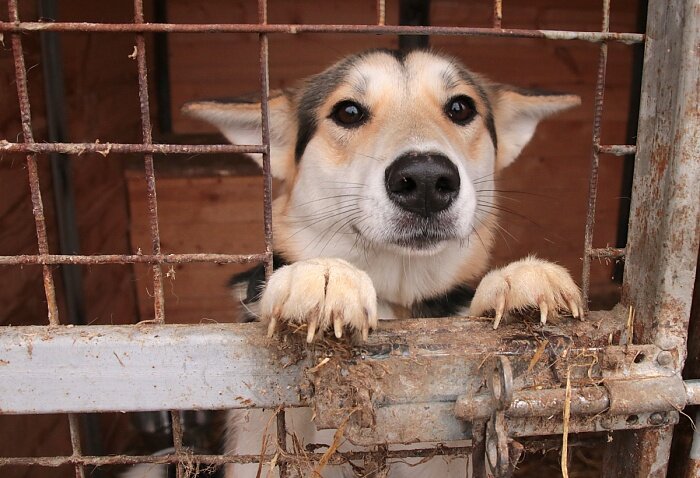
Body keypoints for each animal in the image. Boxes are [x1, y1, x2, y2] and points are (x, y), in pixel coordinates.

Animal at [182, 48, 584, 478]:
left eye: (460, 107)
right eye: (348, 112)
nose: (425, 179)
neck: (396, 294)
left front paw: (520, 280)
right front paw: (325, 276)